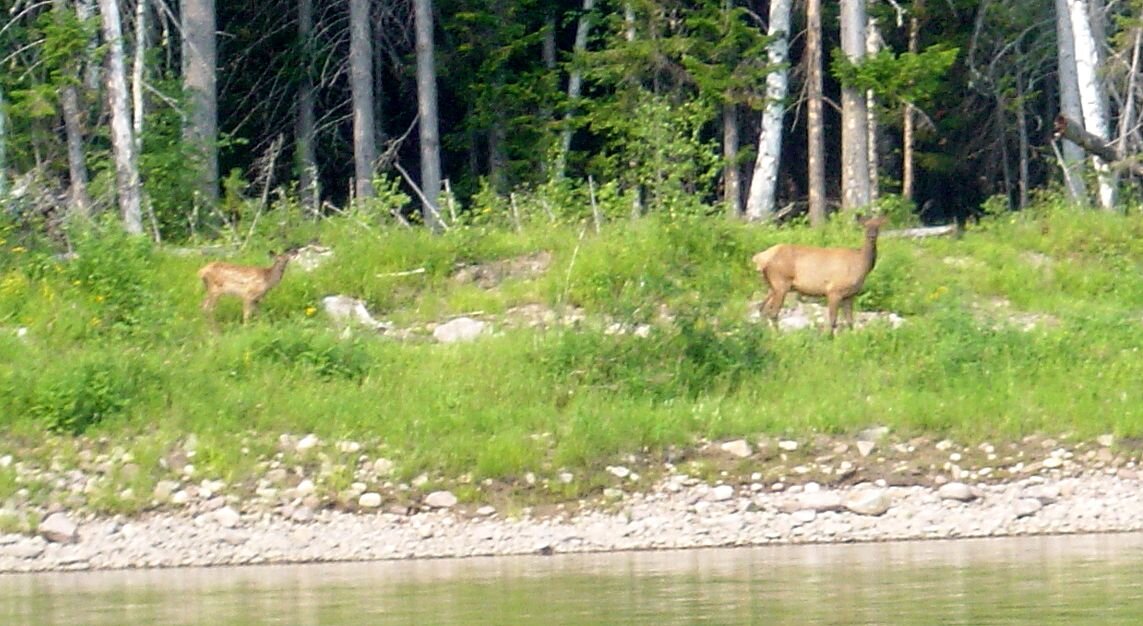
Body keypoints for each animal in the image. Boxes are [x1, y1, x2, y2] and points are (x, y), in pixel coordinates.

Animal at [749, 214, 891, 333]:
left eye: (878, 226)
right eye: (865, 226)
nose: (872, 236)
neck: (860, 266)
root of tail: (760, 258)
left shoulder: (850, 295)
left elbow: (850, 322)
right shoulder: (834, 291)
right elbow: (833, 320)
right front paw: (830, 339)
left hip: (771, 286)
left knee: (762, 309)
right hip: (781, 283)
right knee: (773, 313)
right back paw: (777, 335)